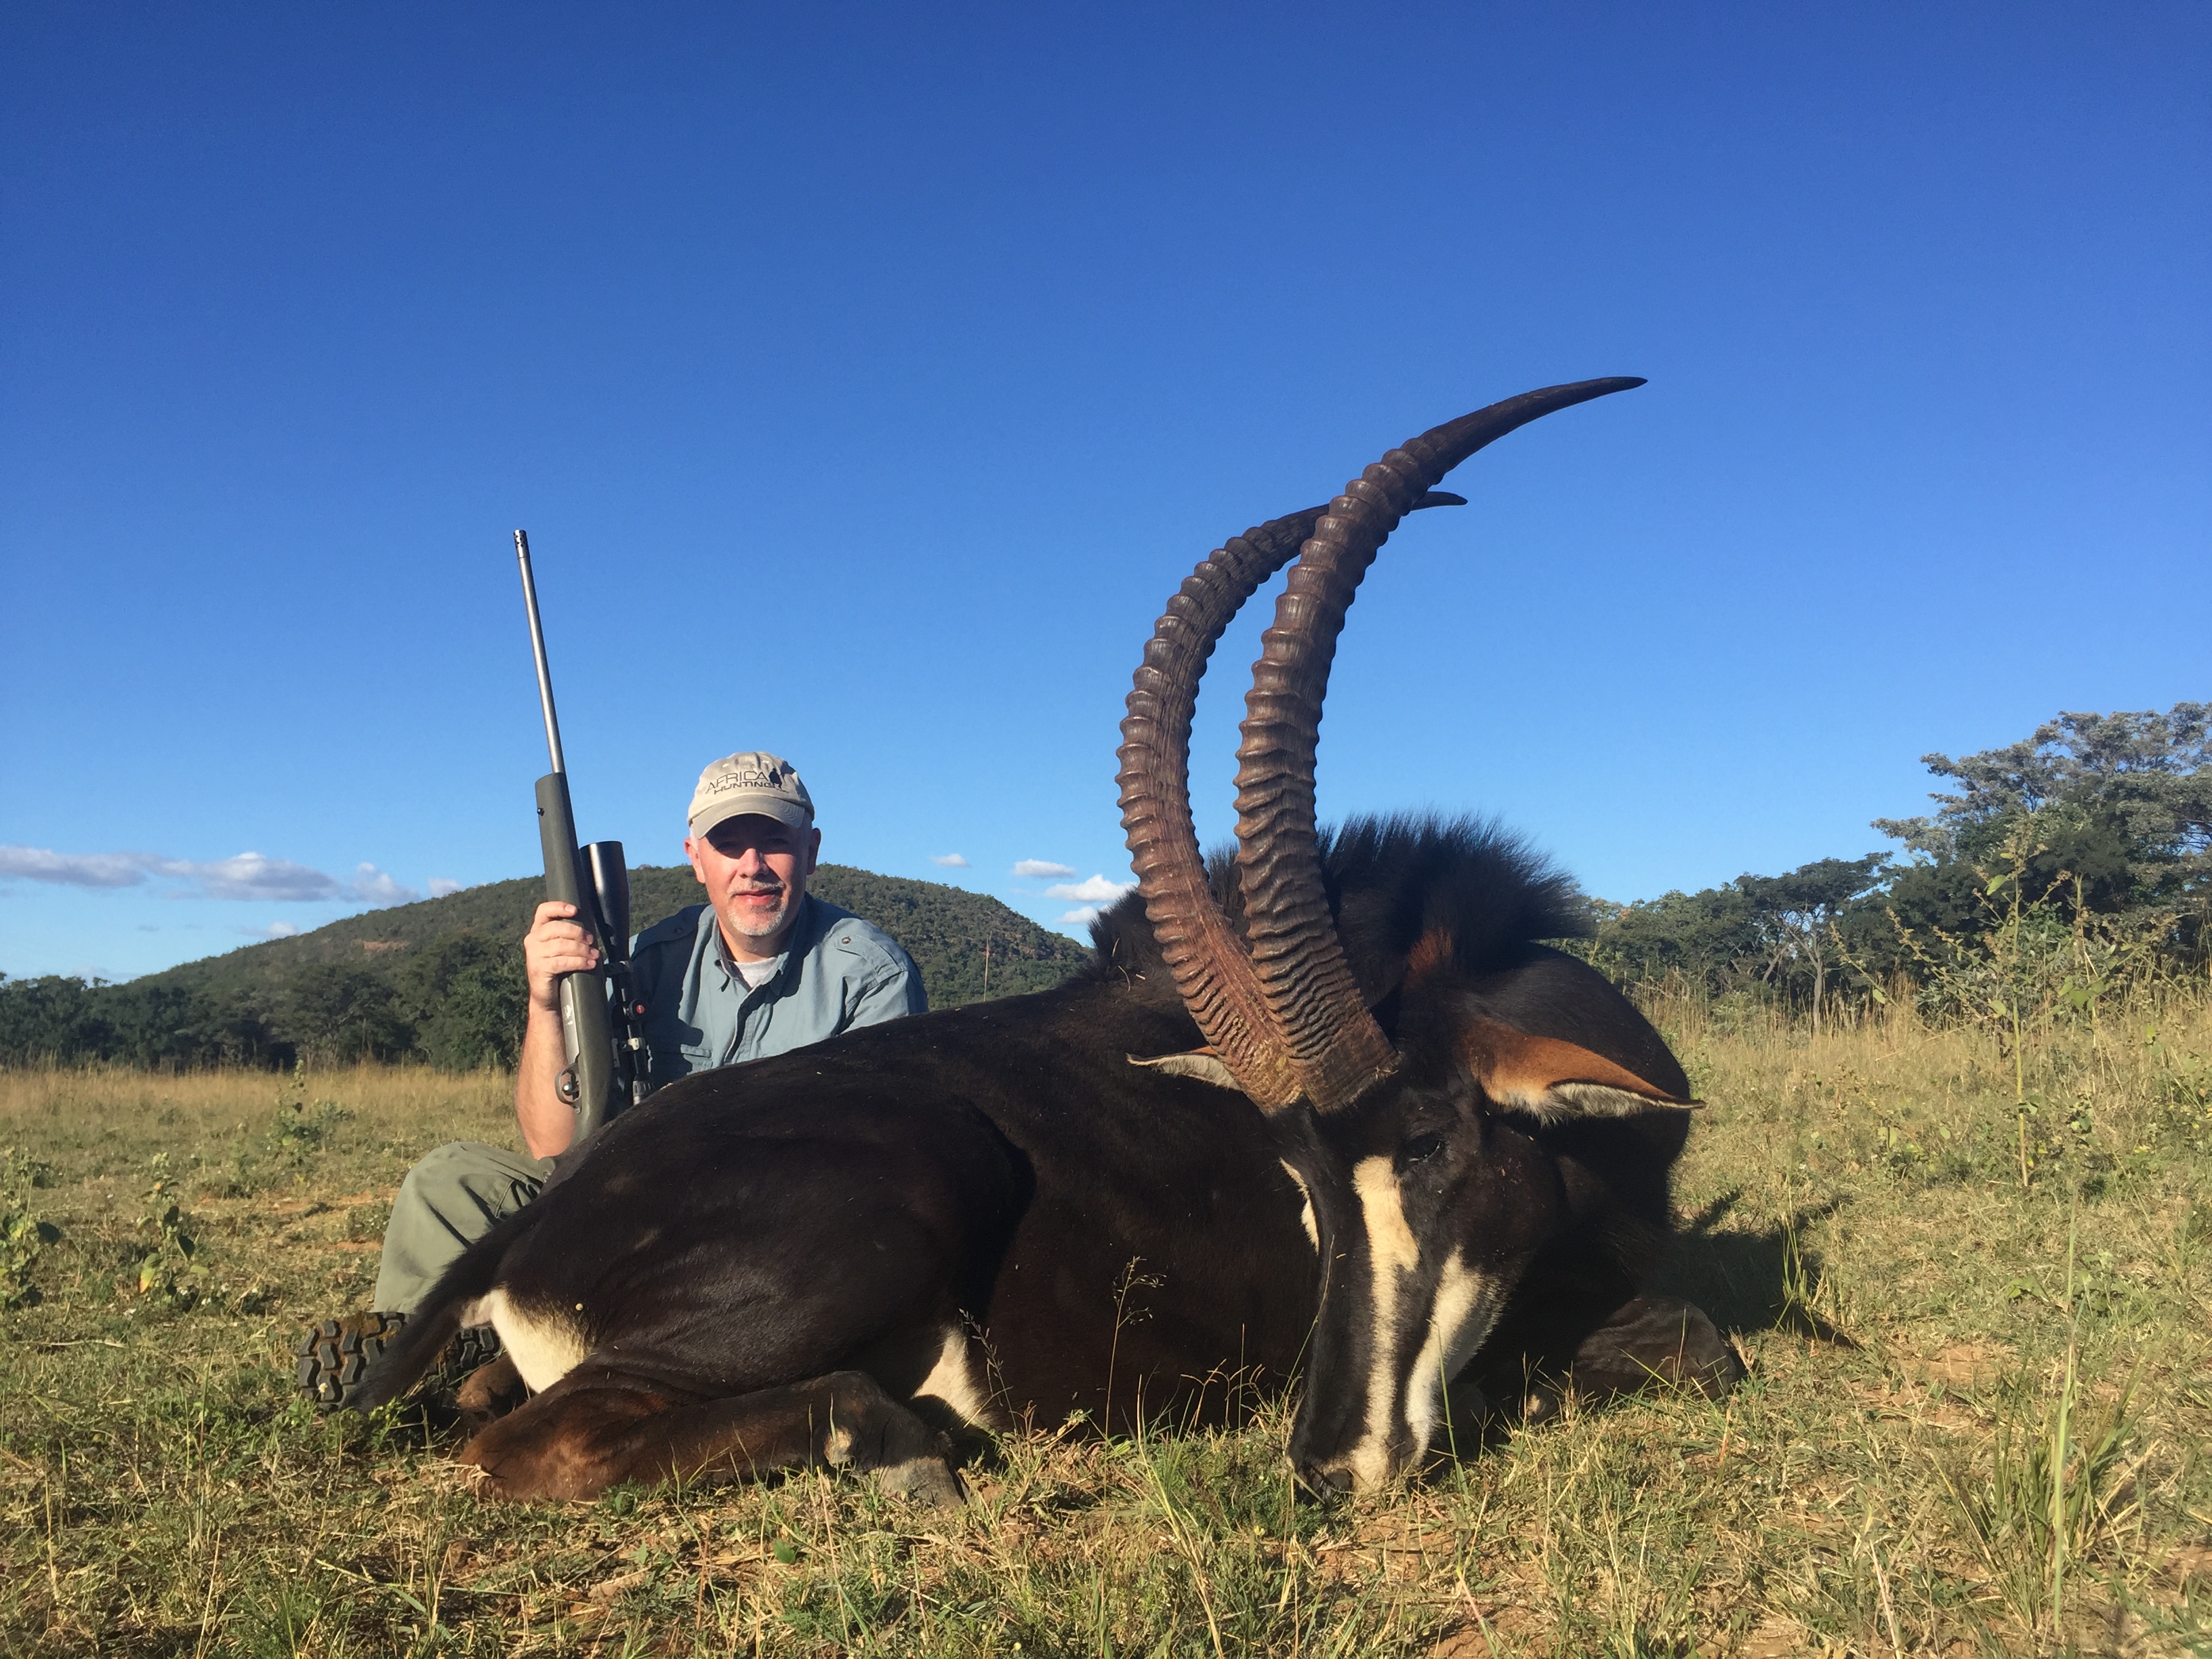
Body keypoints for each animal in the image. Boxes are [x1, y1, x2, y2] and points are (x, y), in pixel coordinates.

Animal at [352, 377, 1737, 1502]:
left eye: (1434, 1147)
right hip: (910, 1187)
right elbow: (1687, 1344)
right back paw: (898, 1438)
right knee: (535, 1441)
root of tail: (540, 1216)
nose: (1331, 1462)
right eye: (1299, 1182)